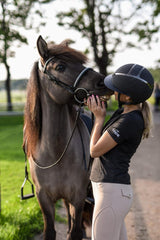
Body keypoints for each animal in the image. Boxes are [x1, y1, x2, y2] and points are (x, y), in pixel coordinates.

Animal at [23, 36, 110, 240]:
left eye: (81, 63)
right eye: (60, 67)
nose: (103, 82)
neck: (56, 152)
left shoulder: (78, 197)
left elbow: (75, 231)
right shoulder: (44, 199)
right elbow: (50, 231)